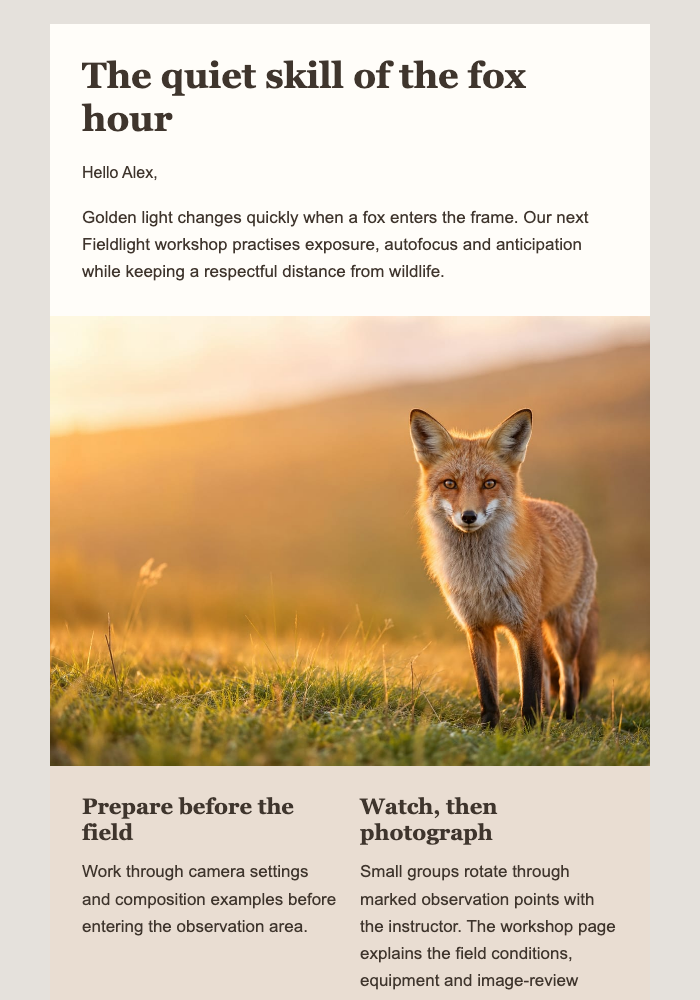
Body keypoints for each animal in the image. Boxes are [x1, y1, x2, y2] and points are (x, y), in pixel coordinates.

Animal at [409, 407, 597, 727]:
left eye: (489, 483)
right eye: (450, 483)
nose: (468, 516)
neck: (480, 578)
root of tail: (568, 512)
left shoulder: (524, 626)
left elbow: (530, 686)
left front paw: (531, 728)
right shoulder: (477, 627)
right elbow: (487, 685)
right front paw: (488, 725)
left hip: (565, 630)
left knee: (567, 672)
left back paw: (567, 716)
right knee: (547, 674)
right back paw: (550, 715)